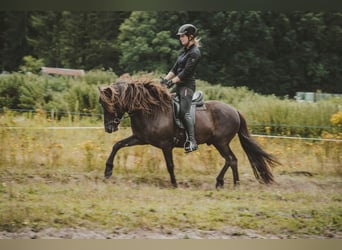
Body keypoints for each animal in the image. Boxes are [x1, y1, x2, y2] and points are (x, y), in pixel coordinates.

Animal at [98, 77, 278, 188]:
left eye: (109, 104)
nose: (109, 128)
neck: (152, 110)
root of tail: (235, 110)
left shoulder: (165, 145)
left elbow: (170, 165)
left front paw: (174, 184)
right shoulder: (140, 138)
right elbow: (117, 145)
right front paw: (108, 171)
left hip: (221, 142)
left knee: (231, 159)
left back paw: (230, 183)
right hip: (219, 143)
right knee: (231, 160)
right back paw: (227, 183)